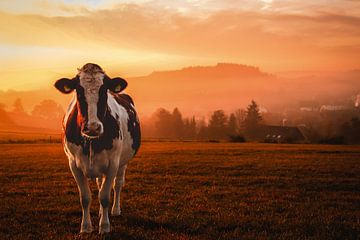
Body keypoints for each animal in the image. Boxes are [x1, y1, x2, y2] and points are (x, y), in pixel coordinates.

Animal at [54, 62, 141, 233]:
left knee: (118, 184)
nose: (93, 127)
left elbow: (105, 196)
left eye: (104, 90)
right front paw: (86, 227)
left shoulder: (113, 163)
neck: (92, 141)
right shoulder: (73, 164)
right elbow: (85, 197)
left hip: (123, 162)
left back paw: (115, 210)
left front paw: (105, 226)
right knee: (100, 184)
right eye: (78, 91)